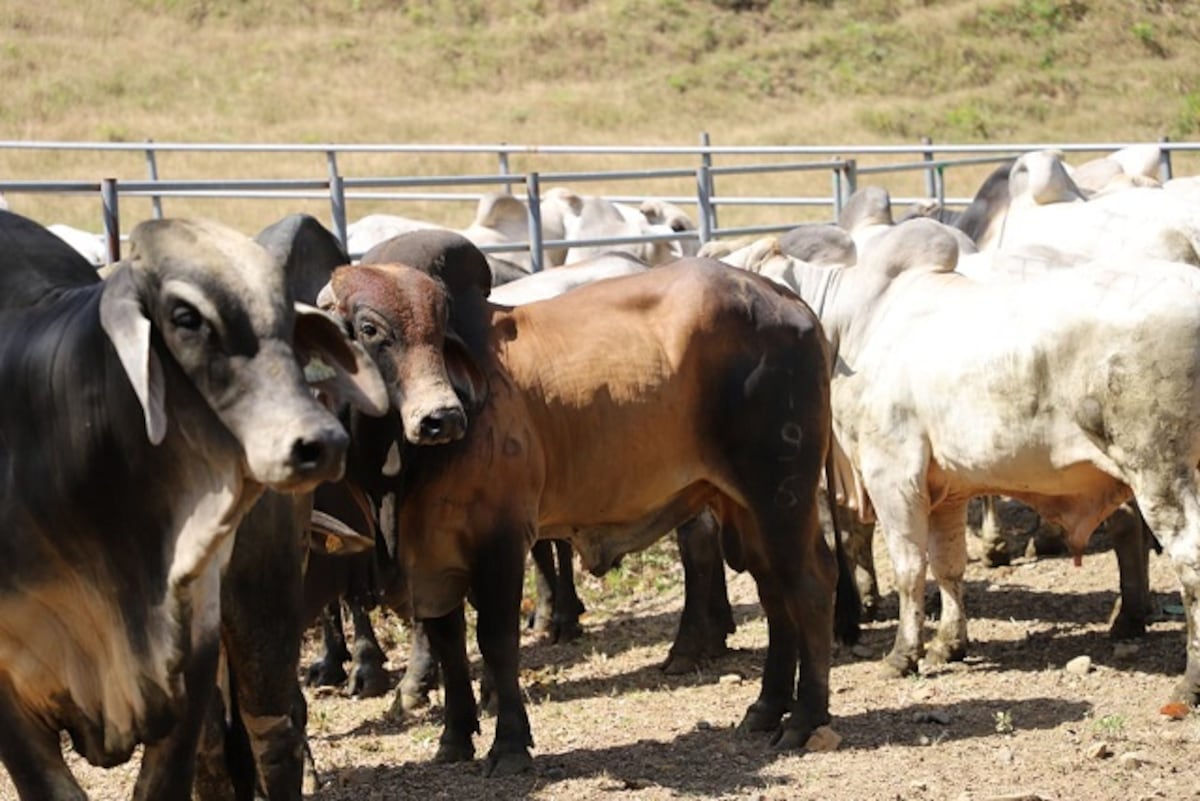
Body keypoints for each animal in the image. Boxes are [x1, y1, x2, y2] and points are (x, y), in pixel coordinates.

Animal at [321, 231, 844, 777]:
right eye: (369, 328)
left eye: (439, 329)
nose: (442, 417)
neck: (398, 479)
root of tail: (791, 303)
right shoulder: (432, 556)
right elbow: (448, 643)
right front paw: (454, 738)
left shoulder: (500, 540)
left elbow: (496, 641)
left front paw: (509, 745)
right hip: (746, 508)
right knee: (775, 594)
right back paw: (766, 708)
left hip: (781, 495)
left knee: (809, 584)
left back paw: (804, 718)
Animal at [753, 219, 1200, 705]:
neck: (855, 326)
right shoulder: (945, 489)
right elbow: (948, 565)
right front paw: (949, 643)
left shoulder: (892, 475)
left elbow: (909, 568)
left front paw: (903, 653)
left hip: (1160, 473)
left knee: (1188, 560)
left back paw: (1187, 684)